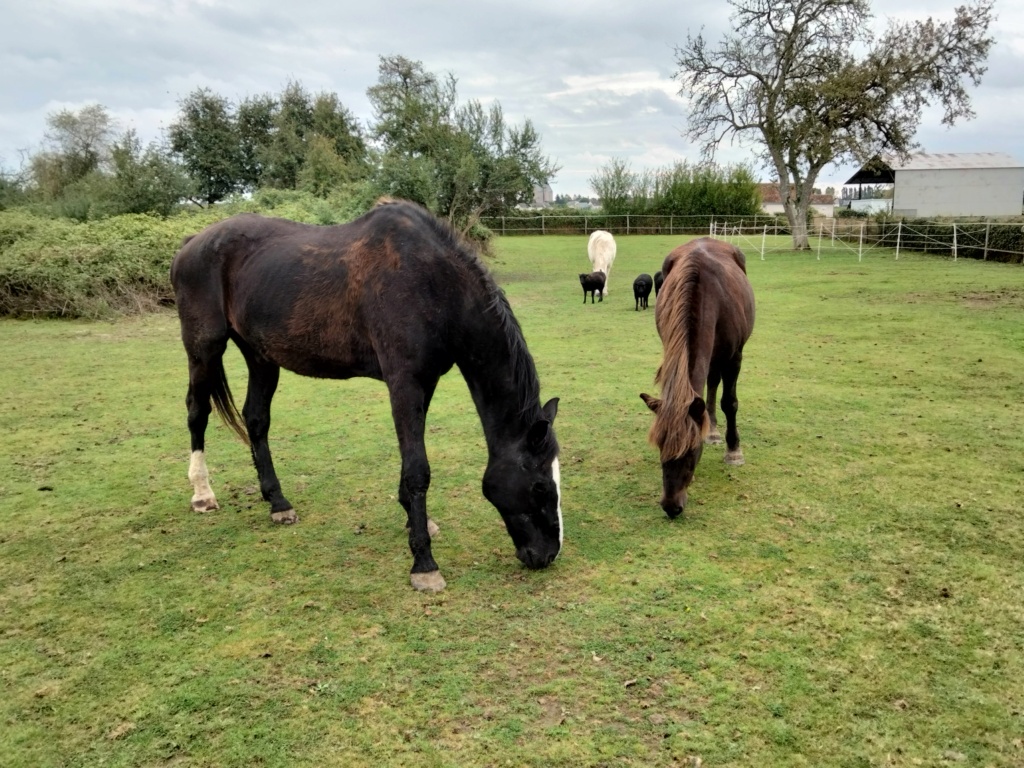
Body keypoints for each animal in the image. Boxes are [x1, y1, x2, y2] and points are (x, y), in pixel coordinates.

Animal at [171, 199, 565, 593]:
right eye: (541, 486)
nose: (547, 555)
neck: (433, 284)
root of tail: (191, 244)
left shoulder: (424, 383)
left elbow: (410, 461)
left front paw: (415, 520)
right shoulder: (404, 382)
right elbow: (418, 470)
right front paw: (424, 564)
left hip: (260, 356)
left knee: (256, 419)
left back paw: (278, 502)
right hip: (204, 348)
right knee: (197, 413)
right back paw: (203, 494)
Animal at [638, 237, 753, 520]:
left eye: (691, 451)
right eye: (660, 447)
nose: (671, 506)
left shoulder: (734, 356)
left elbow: (729, 402)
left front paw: (734, 451)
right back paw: (711, 427)